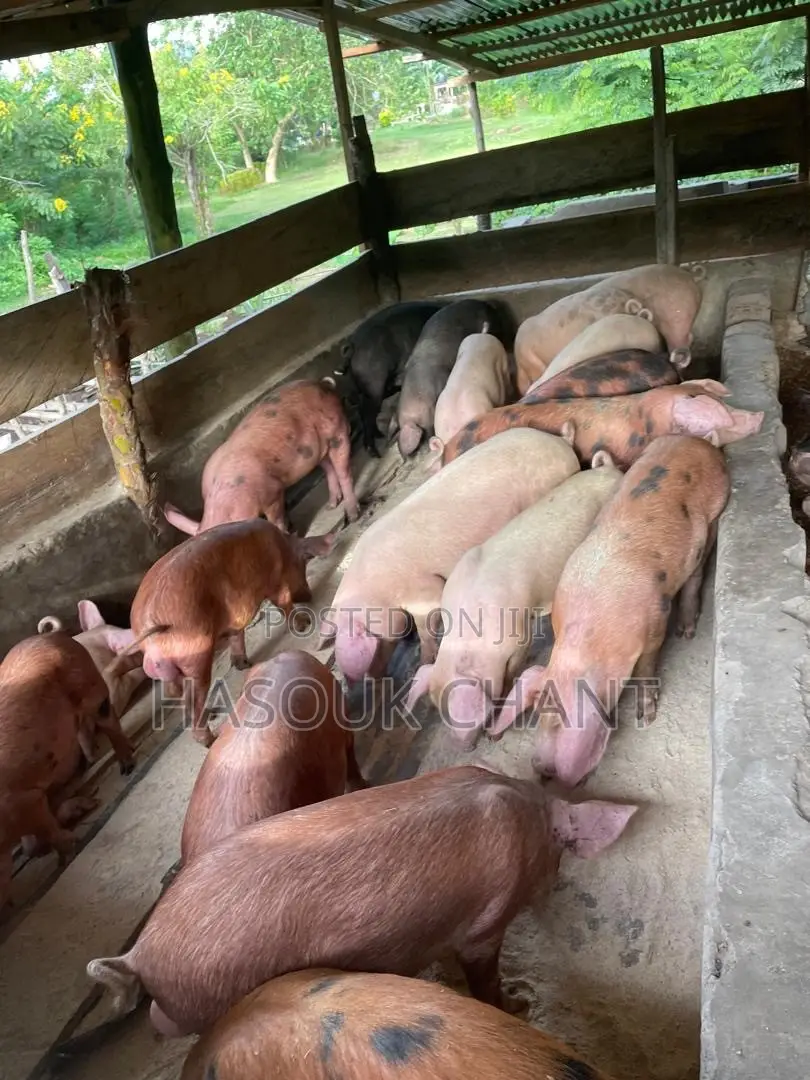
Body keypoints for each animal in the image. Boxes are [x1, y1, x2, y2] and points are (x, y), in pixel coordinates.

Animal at [0, 632, 135, 906]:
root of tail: (55, 636)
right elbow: (31, 843)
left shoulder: (23, 800)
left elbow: (47, 831)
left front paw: (68, 851)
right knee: (85, 730)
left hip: (90, 688)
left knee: (109, 721)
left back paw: (127, 768)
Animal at [107, 520, 334, 748]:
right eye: (303, 563)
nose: (308, 595)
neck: (283, 549)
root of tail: (148, 623)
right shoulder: (277, 584)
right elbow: (284, 604)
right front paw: (304, 624)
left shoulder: (237, 615)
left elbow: (238, 634)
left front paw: (242, 664)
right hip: (195, 656)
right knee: (192, 699)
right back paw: (211, 738)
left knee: (176, 692)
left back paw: (211, 713)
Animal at [163, 379, 357, 536]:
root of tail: (323, 384)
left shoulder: (273, 492)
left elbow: (277, 520)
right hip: (318, 450)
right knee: (329, 467)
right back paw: (331, 505)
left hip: (338, 431)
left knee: (344, 471)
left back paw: (353, 515)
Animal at [323, 429, 579, 684]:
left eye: (374, 645)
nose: (373, 681)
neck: (375, 589)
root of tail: (561, 442)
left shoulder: (423, 591)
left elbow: (426, 624)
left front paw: (423, 662)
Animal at [491, 436, 730, 786]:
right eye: (536, 713)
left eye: (555, 717)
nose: (540, 768)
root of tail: (699, 441)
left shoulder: (655, 621)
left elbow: (647, 667)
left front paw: (647, 717)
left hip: (715, 511)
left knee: (697, 572)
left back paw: (686, 631)